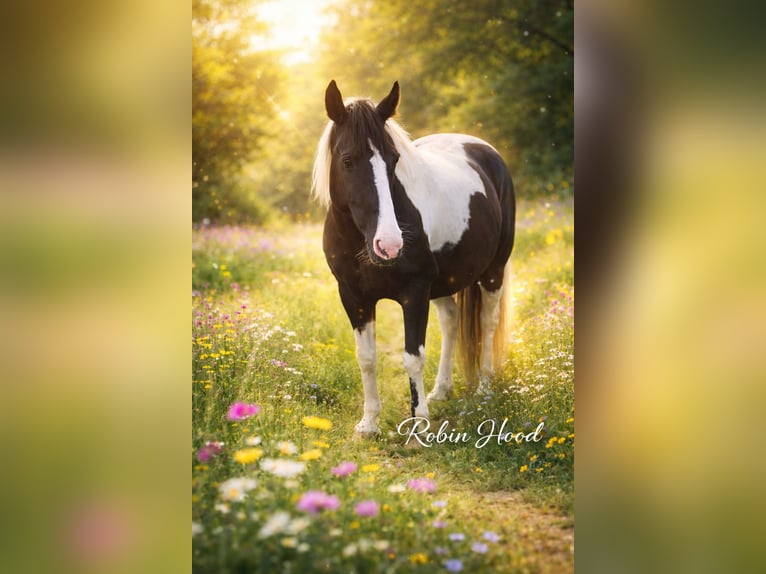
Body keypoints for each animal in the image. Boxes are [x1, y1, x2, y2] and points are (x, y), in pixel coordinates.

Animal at [312, 80, 516, 436]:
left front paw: (419, 422)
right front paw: (369, 423)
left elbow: (412, 356)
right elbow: (367, 358)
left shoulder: (415, 293)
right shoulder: (353, 296)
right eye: (347, 160)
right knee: (451, 322)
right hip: (446, 282)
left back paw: (485, 390)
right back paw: (441, 390)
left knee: (487, 323)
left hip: (493, 271)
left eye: (394, 159)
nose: (390, 245)